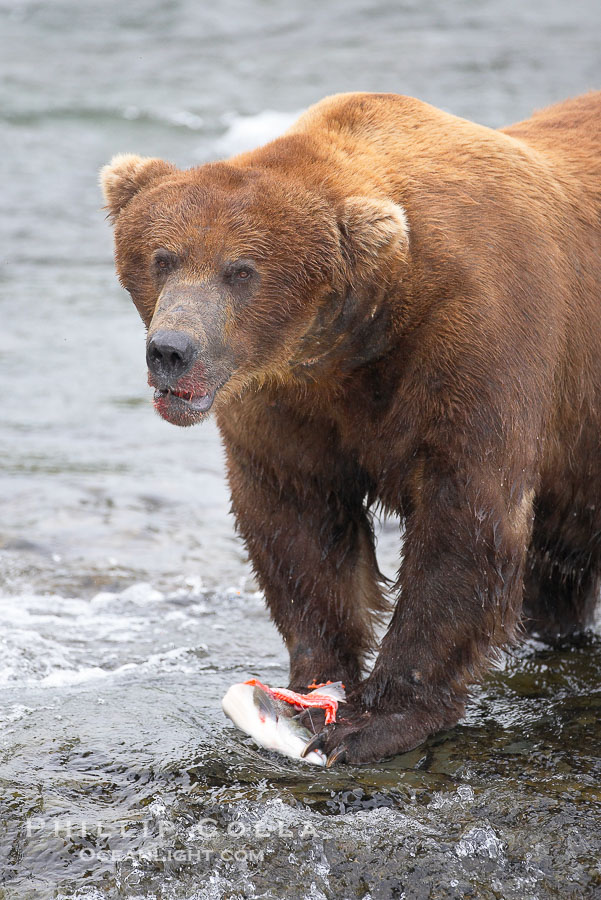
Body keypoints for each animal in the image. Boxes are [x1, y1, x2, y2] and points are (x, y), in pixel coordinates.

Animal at [101, 91, 601, 765]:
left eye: (241, 270)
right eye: (162, 258)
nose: (172, 351)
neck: (360, 339)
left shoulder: (481, 346)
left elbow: (465, 523)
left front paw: (374, 720)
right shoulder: (288, 400)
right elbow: (299, 524)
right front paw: (312, 684)